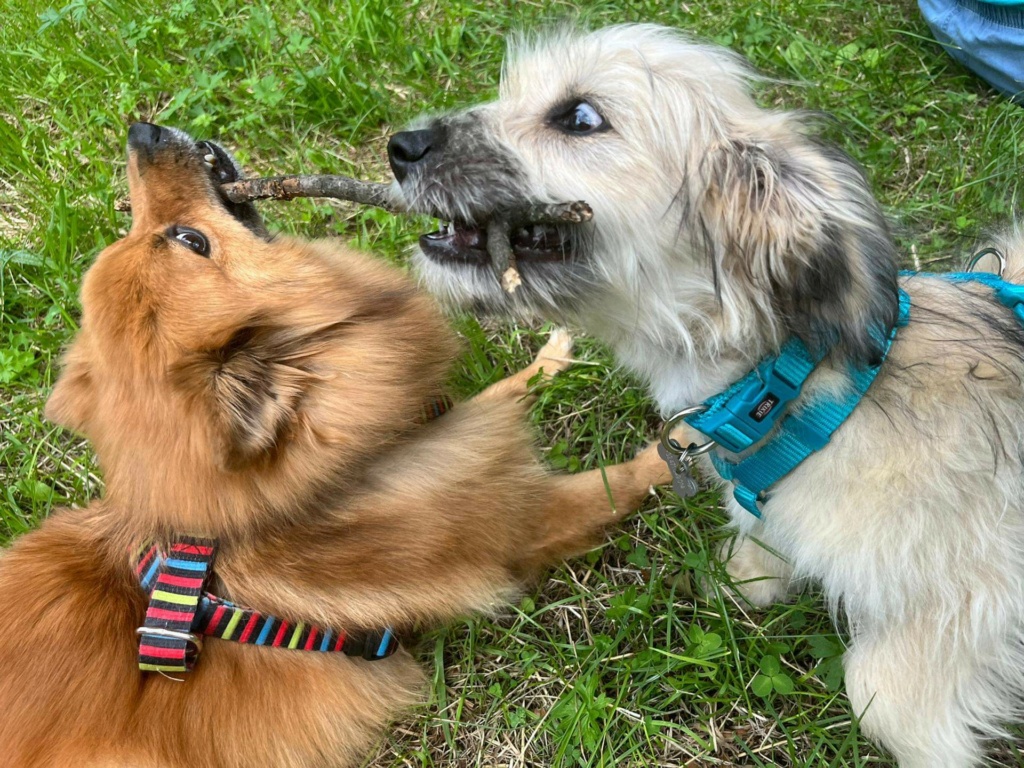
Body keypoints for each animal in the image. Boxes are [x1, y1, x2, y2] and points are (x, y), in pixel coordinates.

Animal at [0, 123, 671, 765]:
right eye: (192, 240)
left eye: (172, 237)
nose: (142, 134)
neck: (348, 473)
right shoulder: (520, 523)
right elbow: (622, 479)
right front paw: (683, 443)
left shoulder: (446, 420)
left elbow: (506, 388)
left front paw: (551, 355)